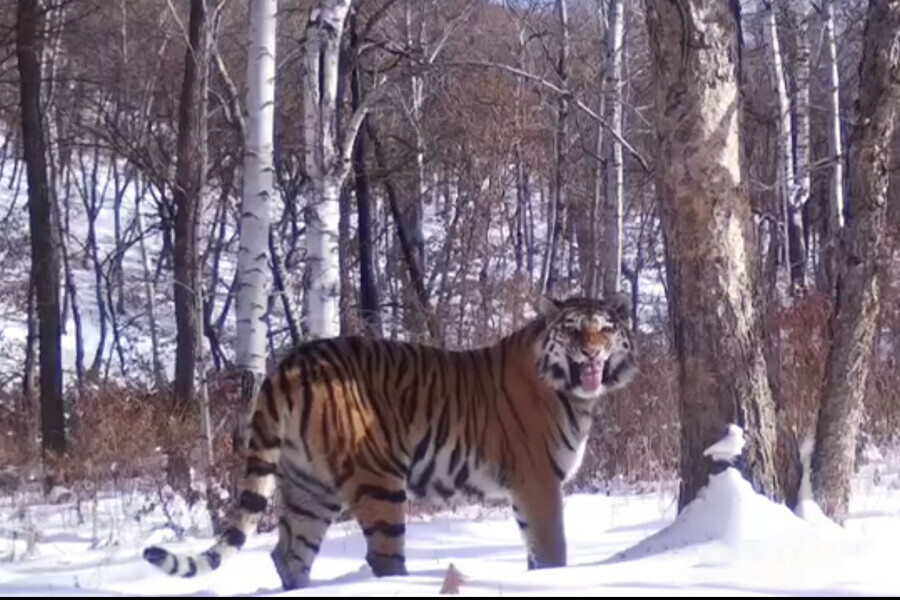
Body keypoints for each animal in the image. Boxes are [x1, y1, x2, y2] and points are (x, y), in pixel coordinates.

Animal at [142, 294, 640, 592]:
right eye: (574, 330)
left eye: (605, 329)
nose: (592, 352)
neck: (571, 390)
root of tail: (289, 363)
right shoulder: (538, 482)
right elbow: (554, 550)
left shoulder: (526, 491)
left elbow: (536, 551)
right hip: (379, 479)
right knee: (381, 557)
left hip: (306, 488)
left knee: (288, 554)